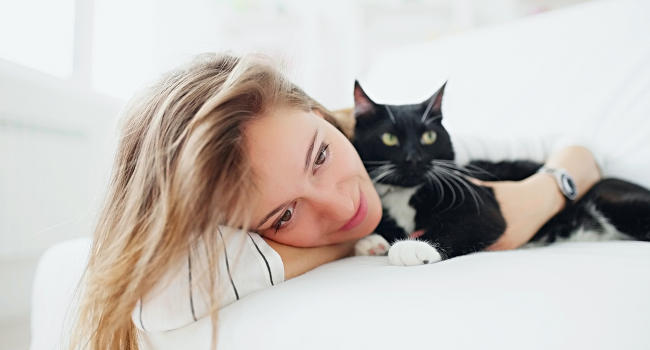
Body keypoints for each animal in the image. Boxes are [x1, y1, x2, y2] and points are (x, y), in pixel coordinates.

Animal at [350, 81, 648, 266]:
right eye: (389, 138)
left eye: (429, 136)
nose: (414, 158)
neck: (406, 194)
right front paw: (373, 240)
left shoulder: (480, 201)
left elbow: (467, 223)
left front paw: (415, 246)